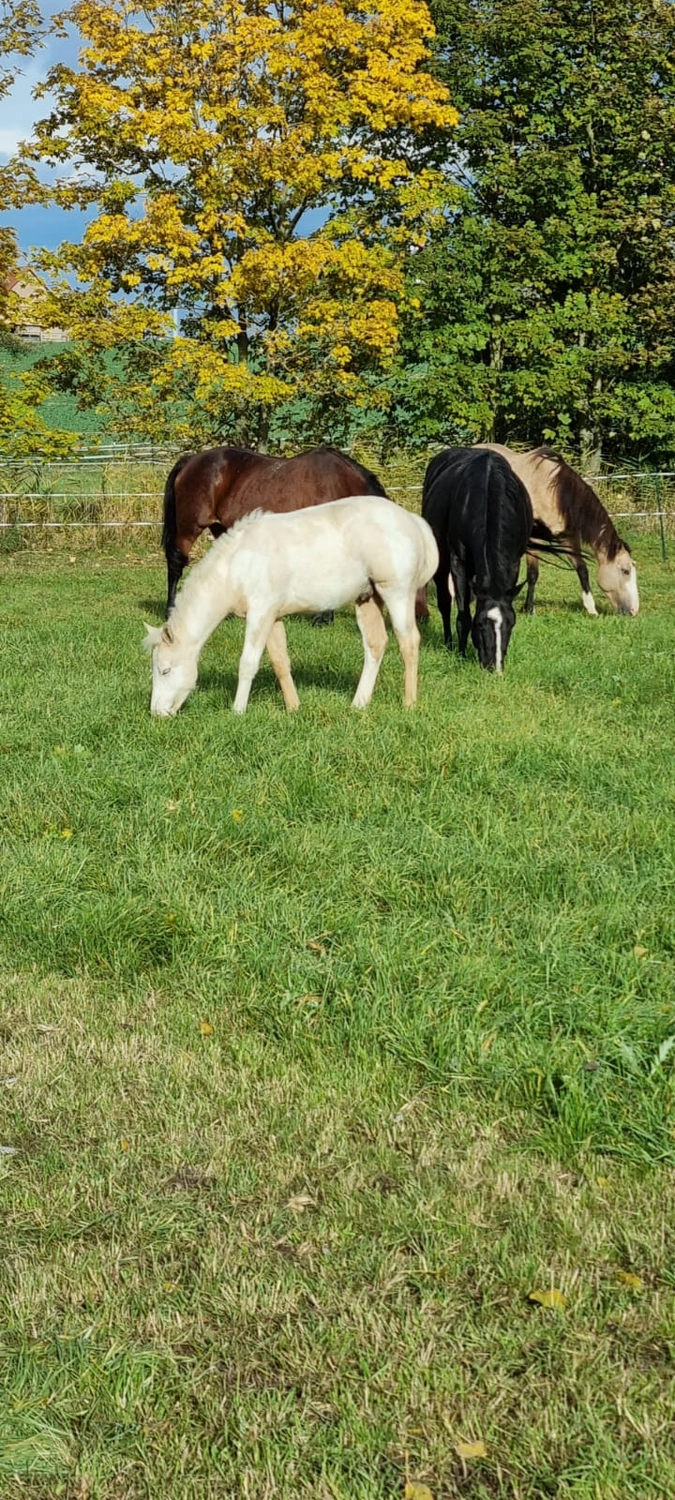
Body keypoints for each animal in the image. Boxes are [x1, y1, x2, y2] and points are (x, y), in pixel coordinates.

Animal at [145, 495, 439, 715]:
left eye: (164, 670)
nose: (157, 713)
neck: (238, 564)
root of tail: (412, 520)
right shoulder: (272, 617)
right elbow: (280, 662)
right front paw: (293, 707)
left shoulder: (260, 614)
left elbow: (248, 663)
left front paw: (238, 710)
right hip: (367, 598)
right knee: (376, 645)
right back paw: (359, 703)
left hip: (397, 594)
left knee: (409, 642)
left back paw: (409, 704)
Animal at [162, 444, 388, 617]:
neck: (340, 483)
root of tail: (190, 460)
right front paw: (322, 616)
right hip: (188, 528)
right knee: (176, 564)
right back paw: (171, 610)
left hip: (223, 528)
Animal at [422, 446, 533, 671]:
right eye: (480, 624)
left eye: (512, 622)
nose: (494, 667)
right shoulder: (459, 561)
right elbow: (463, 614)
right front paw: (461, 654)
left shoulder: (513, 562)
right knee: (445, 602)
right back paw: (449, 643)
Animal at [477, 444, 639, 616]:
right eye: (625, 571)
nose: (634, 610)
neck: (553, 494)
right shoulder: (534, 538)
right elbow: (533, 573)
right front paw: (529, 608)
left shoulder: (567, 536)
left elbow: (582, 568)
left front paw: (591, 608)